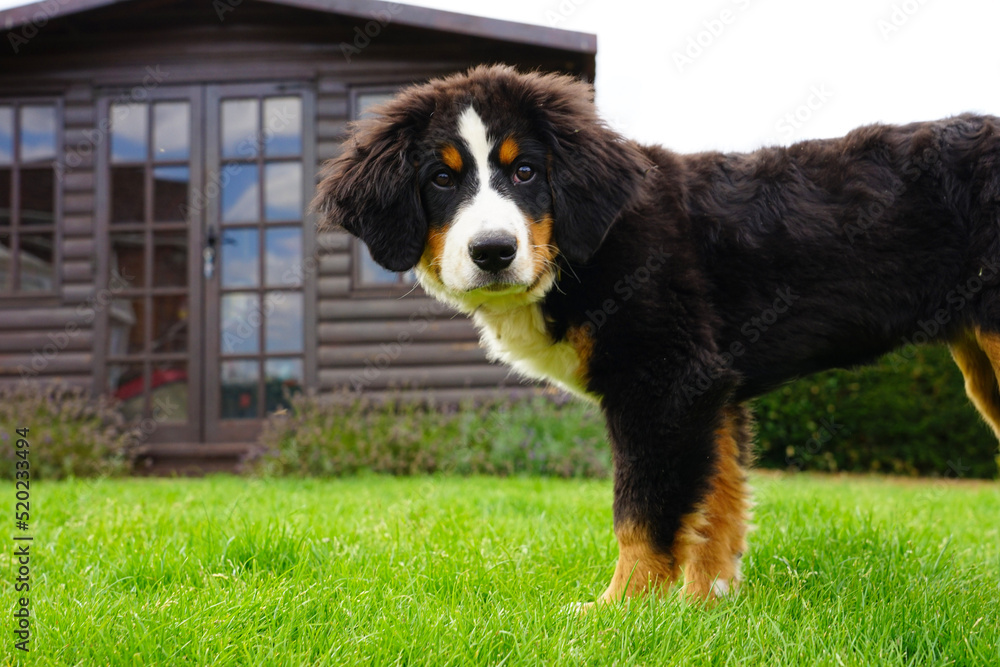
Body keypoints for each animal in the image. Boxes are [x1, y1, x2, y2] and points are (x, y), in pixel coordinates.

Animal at [316, 66, 1000, 604]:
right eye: (441, 179)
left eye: (527, 171)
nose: (492, 251)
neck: (587, 250)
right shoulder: (711, 392)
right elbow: (715, 509)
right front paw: (702, 610)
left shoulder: (665, 381)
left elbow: (644, 511)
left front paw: (619, 610)